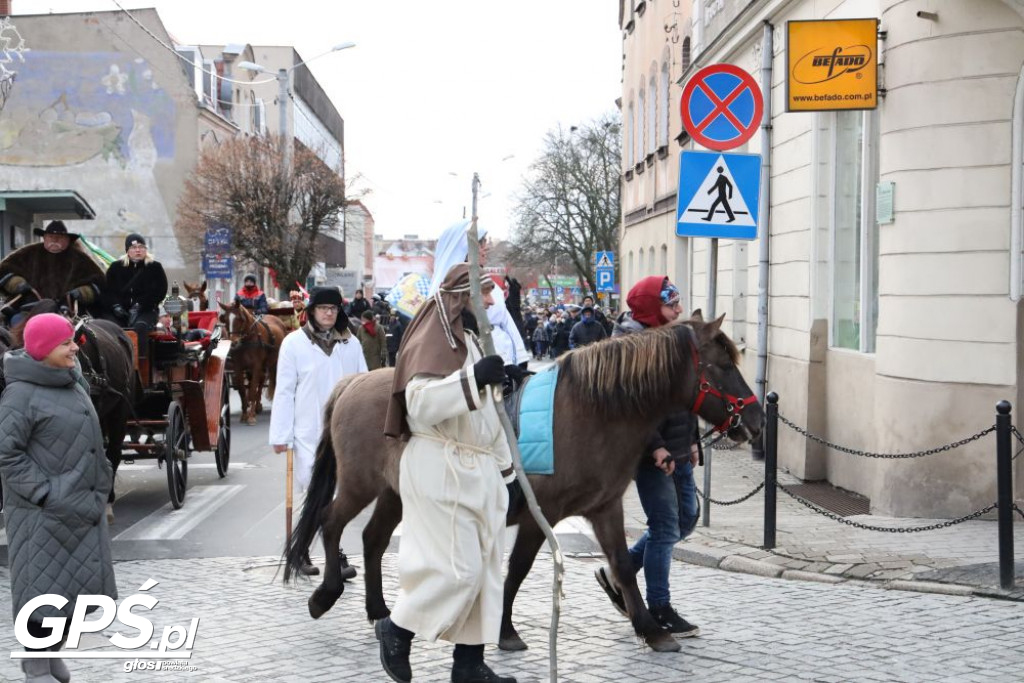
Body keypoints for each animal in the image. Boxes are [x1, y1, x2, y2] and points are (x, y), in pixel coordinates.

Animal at [284, 313, 765, 655]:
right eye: (723, 364)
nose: (757, 421)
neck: (591, 410)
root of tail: (352, 381)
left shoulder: (605, 508)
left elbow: (623, 566)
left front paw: (650, 630)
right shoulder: (542, 514)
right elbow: (517, 568)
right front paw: (505, 630)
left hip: (392, 494)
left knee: (373, 538)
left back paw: (378, 611)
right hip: (359, 485)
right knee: (330, 522)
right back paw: (326, 595)